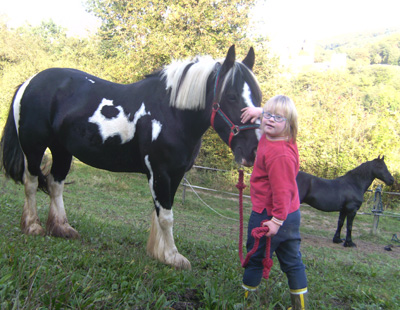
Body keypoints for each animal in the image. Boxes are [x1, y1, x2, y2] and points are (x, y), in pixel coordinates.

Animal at [0, 44, 262, 270]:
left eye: (258, 97)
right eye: (231, 96)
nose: (253, 151)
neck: (171, 113)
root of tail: (29, 82)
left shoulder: (175, 174)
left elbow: (161, 212)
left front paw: (158, 252)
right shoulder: (159, 171)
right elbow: (166, 216)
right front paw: (172, 256)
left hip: (62, 150)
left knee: (55, 184)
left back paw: (62, 228)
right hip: (34, 148)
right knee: (31, 183)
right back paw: (33, 226)